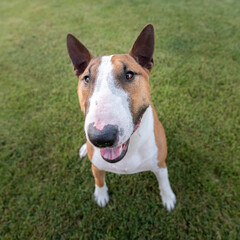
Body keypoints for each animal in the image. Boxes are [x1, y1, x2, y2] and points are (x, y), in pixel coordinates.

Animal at [66, 24, 175, 211]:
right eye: (86, 78)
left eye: (129, 75)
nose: (101, 138)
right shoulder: (96, 166)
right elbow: (99, 180)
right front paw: (101, 196)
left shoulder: (160, 164)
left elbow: (164, 181)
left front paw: (168, 198)